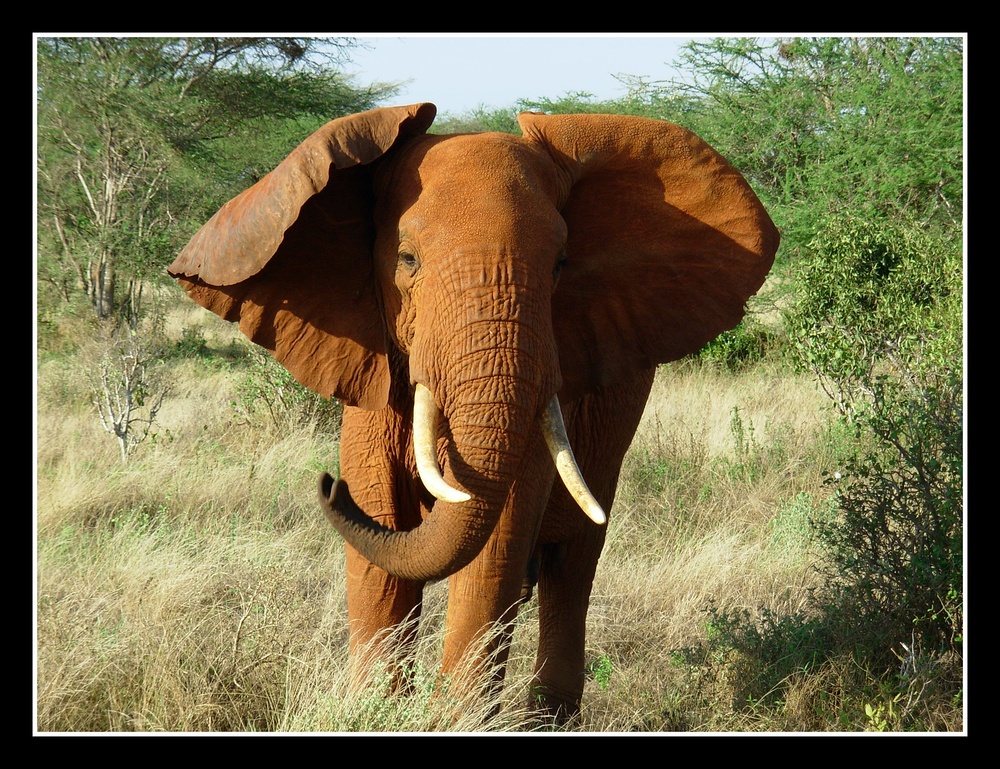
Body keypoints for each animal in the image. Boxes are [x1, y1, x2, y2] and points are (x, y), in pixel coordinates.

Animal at [168, 100, 780, 720]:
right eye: (406, 259)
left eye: (560, 265)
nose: (327, 485)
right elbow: (381, 542)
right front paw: (373, 711)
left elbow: (494, 549)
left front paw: (453, 719)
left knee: (573, 562)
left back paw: (546, 717)